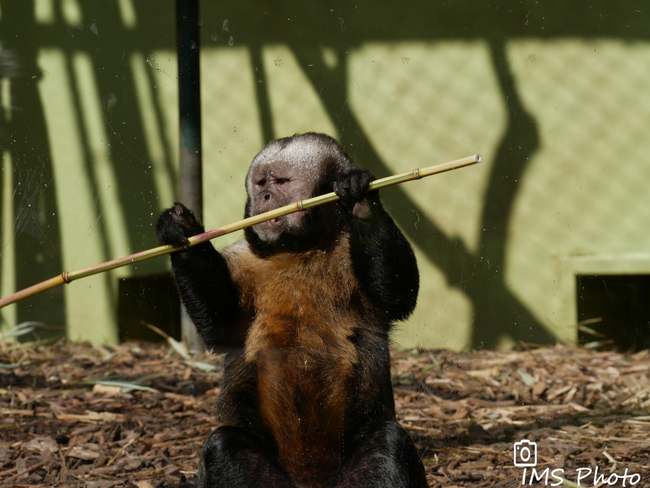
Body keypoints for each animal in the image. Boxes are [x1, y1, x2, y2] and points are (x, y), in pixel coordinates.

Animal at [157, 133, 426, 488]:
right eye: (261, 183)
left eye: (282, 182)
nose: (265, 196)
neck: (296, 249)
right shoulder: (244, 255)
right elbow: (222, 328)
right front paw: (183, 233)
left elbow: (397, 298)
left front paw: (362, 201)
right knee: (223, 445)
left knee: (389, 442)